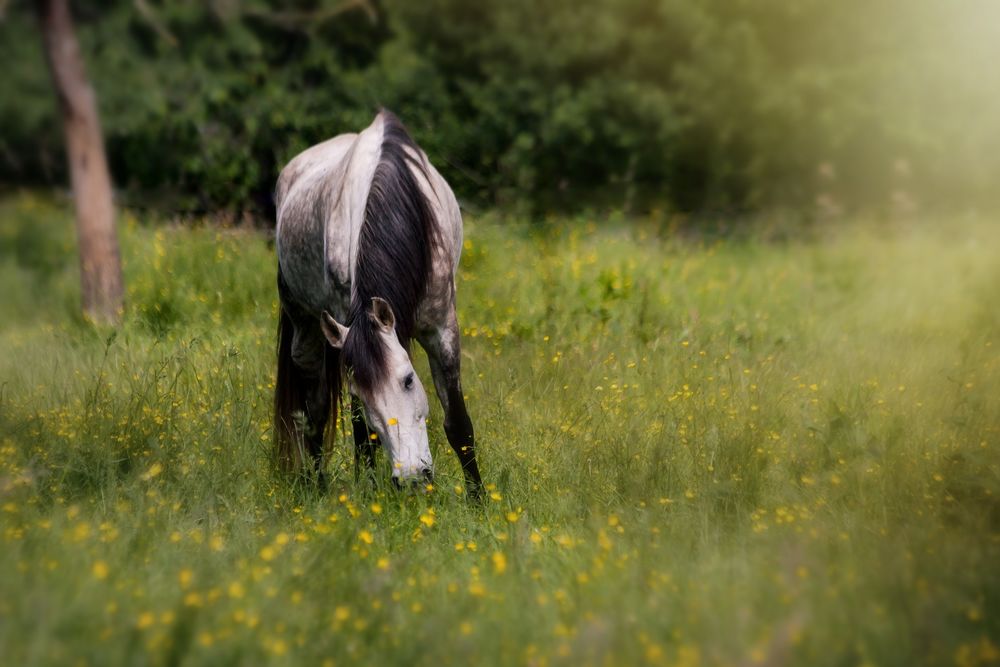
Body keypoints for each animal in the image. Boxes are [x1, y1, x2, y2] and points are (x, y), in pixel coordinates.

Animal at [273, 110, 483, 498]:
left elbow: (458, 424)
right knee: (316, 414)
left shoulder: (443, 329)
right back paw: (317, 488)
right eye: (363, 393)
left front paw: (479, 501)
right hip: (305, 330)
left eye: (408, 381)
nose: (412, 478)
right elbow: (361, 433)